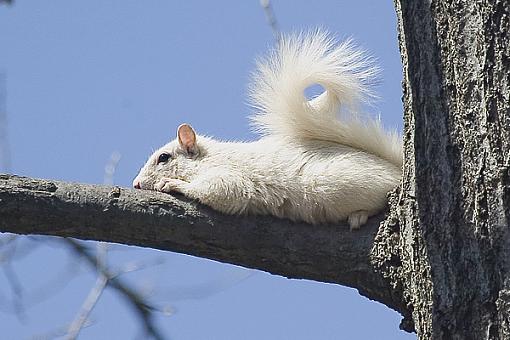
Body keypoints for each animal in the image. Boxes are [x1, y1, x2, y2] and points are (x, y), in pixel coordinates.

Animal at [132, 30, 402, 230]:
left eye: (163, 158)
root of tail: (398, 171)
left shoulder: (228, 175)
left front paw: (173, 184)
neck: (208, 158)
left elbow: (224, 190)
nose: (135, 184)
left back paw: (359, 215)